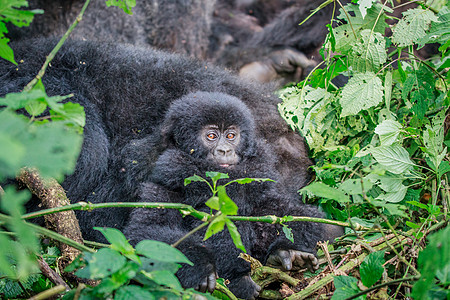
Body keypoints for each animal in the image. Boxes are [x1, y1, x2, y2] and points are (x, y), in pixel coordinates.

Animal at [121, 91, 340, 298]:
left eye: (231, 136)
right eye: (211, 136)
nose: (225, 150)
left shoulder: (261, 174)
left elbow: (281, 210)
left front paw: (289, 248)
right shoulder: (157, 175)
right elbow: (144, 233)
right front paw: (202, 268)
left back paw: (286, 255)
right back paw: (238, 281)